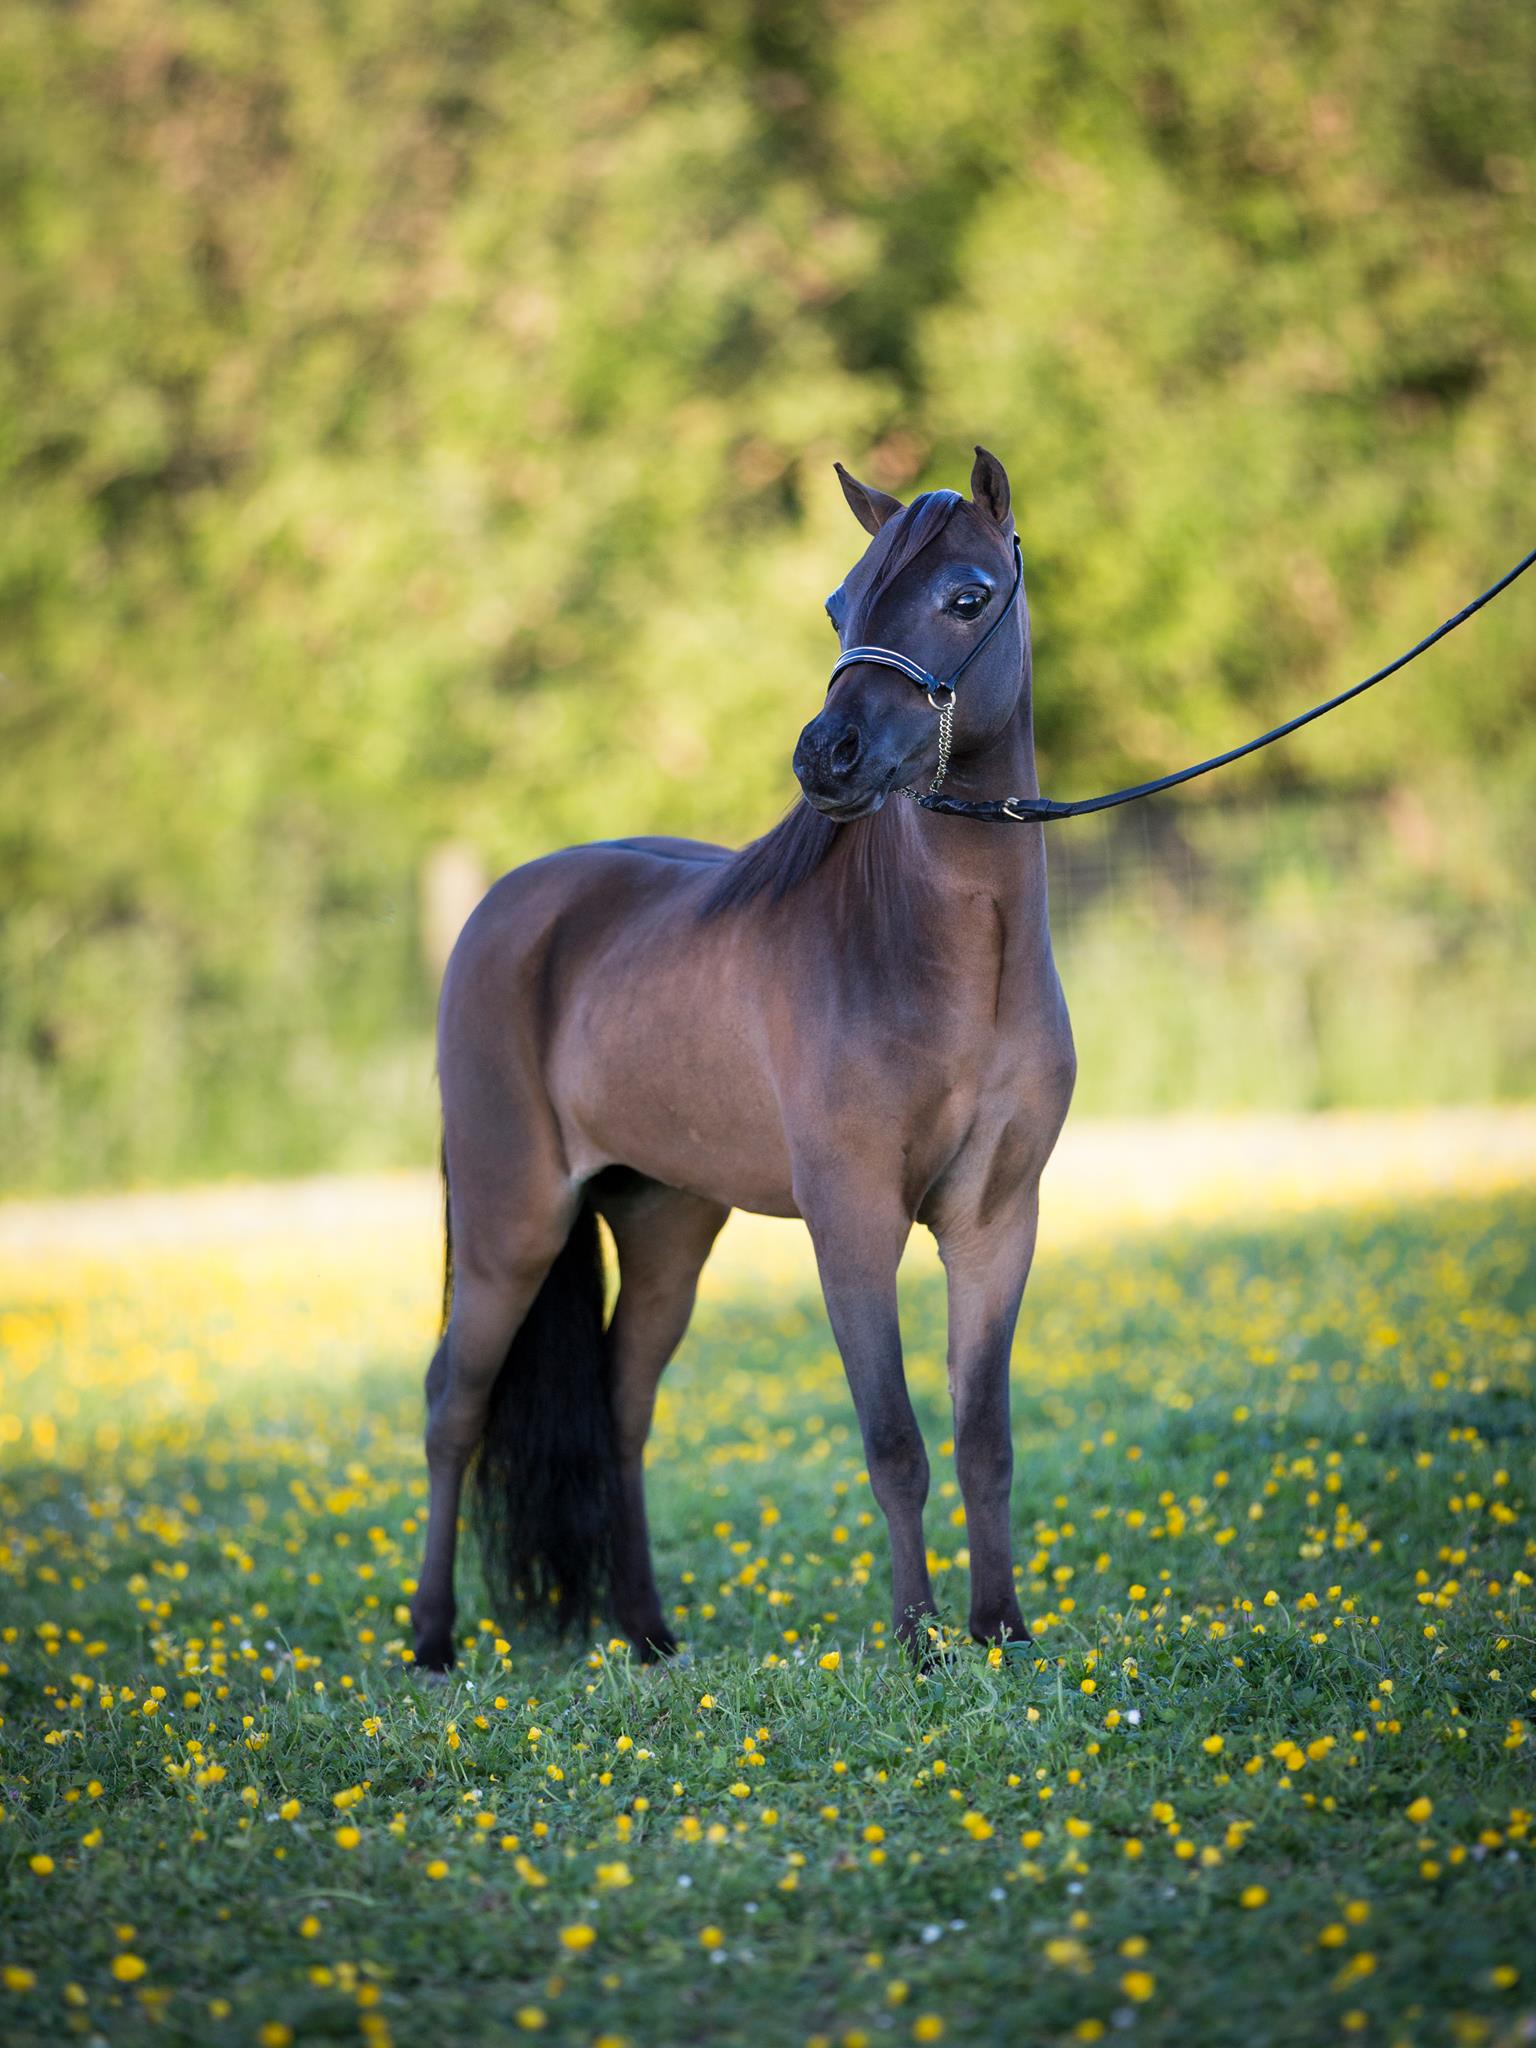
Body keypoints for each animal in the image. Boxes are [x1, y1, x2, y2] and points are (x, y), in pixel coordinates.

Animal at [409, 445, 1076, 1671]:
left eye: (967, 598)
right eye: (838, 605)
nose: (828, 756)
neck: (953, 962)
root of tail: (506, 909)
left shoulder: (997, 1223)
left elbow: (984, 1438)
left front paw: (1001, 1630)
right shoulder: (852, 1220)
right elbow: (896, 1440)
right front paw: (918, 1644)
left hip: (666, 1223)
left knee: (621, 1405)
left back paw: (647, 1632)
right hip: (509, 1223)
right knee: (452, 1406)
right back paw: (432, 1641)